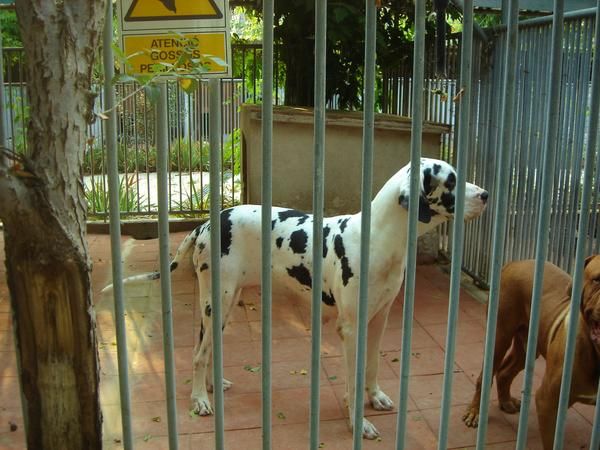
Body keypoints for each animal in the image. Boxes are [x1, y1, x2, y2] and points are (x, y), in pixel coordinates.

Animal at [464, 255, 600, 448]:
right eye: (597, 279)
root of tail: (515, 262)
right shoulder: (548, 402)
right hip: (499, 336)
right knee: (485, 377)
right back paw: (475, 412)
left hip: (527, 347)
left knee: (505, 372)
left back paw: (506, 402)